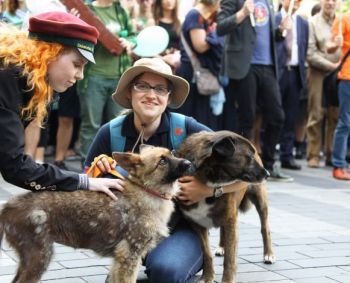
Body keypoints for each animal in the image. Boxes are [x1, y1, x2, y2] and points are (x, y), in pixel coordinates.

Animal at [0, 146, 191, 283]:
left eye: (172, 153)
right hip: (39, 256)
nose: (189, 163)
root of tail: (7, 207)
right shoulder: (129, 255)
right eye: (162, 161)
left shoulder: (119, 261)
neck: (147, 191)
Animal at [176, 131, 274, 283]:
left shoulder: (230, 220)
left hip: (259, 199)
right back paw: (221, 247)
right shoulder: (197, 223)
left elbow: (230, 257)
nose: (268, 174)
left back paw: (268, 254)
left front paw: (227, 280)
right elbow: (206, 253)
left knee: (265, 228)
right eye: (249, 157)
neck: (208, 178)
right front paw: (207, 277)